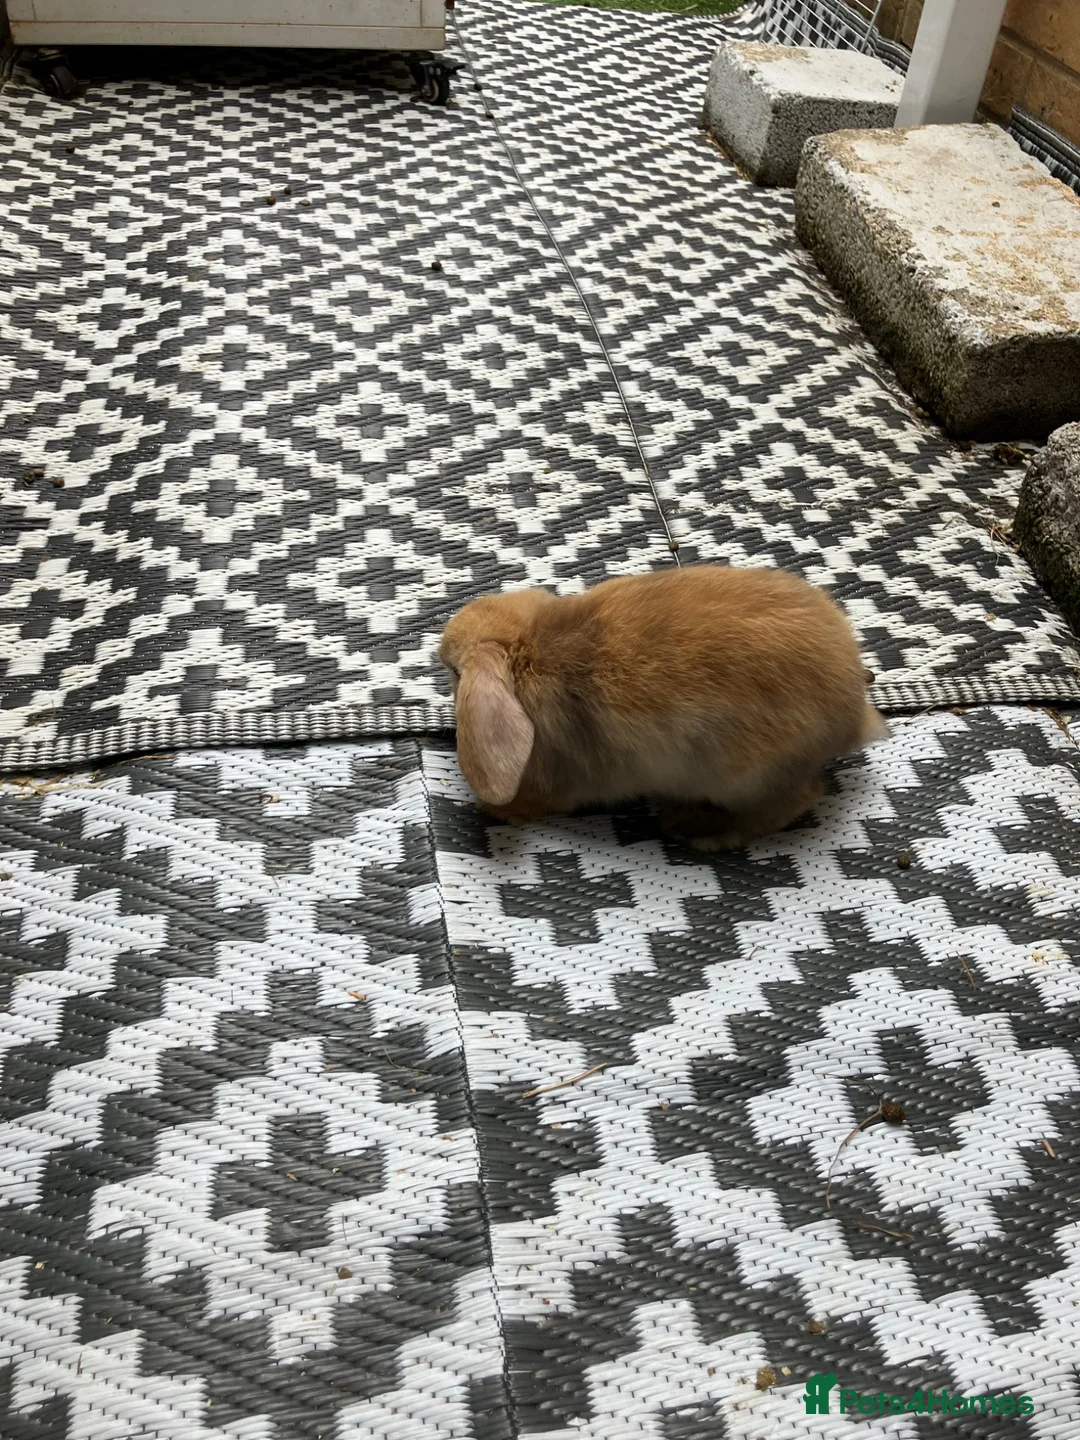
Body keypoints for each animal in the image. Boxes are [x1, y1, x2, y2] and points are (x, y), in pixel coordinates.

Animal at [438, 565, 888, 851]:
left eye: (454, 671)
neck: (528, 647)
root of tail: (854, 717)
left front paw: (498, 810)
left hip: (746, 777)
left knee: (793, 802)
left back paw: (700, 832)